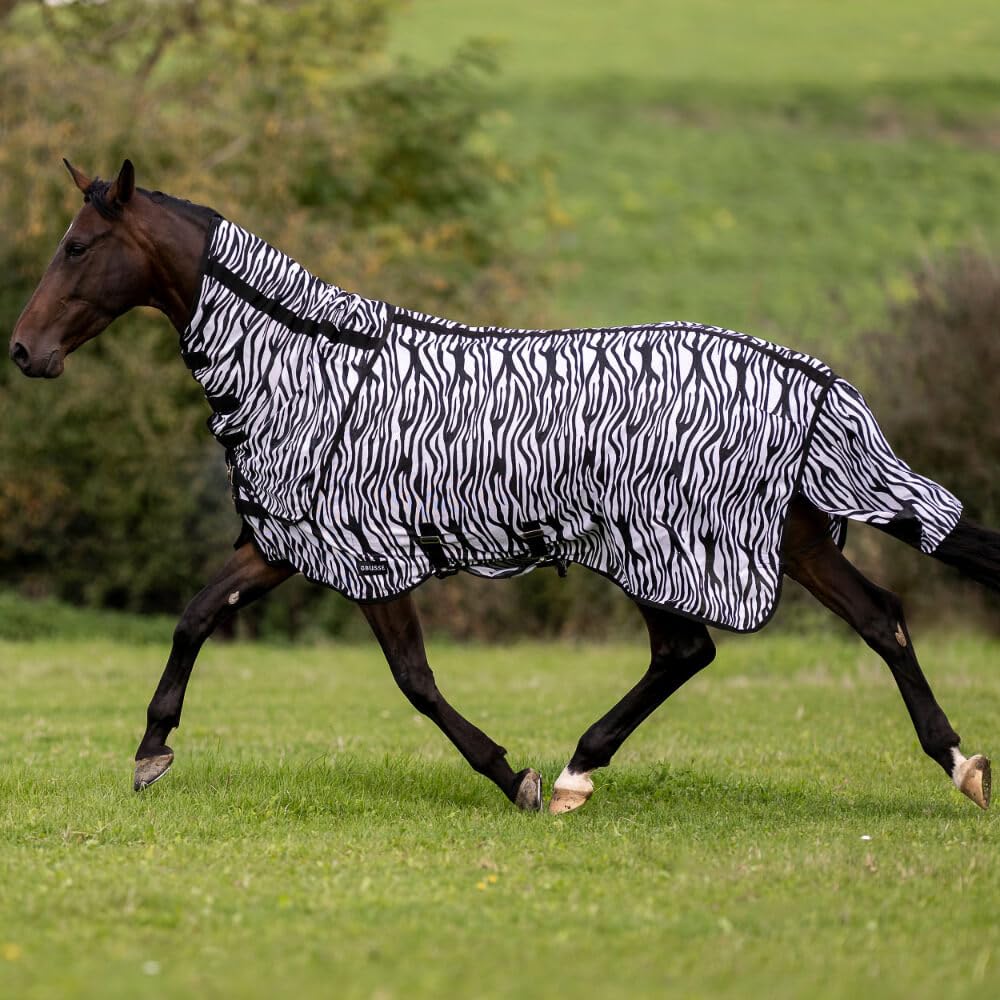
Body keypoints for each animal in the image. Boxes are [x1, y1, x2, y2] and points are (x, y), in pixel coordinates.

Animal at [9, 159, 993, 814]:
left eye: (78, 246)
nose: (25, 351)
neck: (306, 362)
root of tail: (808, 378)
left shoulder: (366, 554)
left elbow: (413, 678)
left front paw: (509, 774)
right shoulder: (285, 542)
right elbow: (195, 616)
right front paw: (150, 752)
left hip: (670, 546)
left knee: (699, 648)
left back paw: (572, 774)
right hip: (783, 540)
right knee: (871, 619)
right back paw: (959, 764)